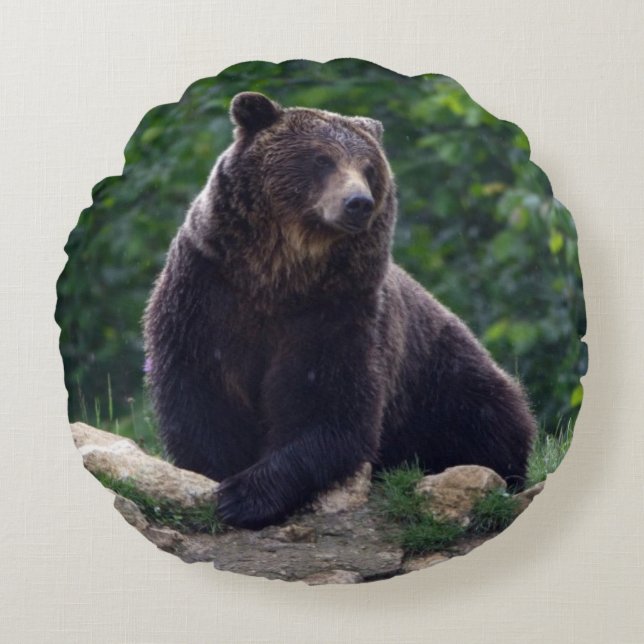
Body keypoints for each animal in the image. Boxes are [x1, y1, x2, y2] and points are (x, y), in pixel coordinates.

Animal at [143, 91, 537, 530]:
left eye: (369, 168)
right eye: (321, 159)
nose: (358, 202)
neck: (277, 275)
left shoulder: (337, 311)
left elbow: (331, 407)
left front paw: (244, 495)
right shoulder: (207, 291)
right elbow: (200, 392)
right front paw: (219, 477)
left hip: (442, 377)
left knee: (490, 417)